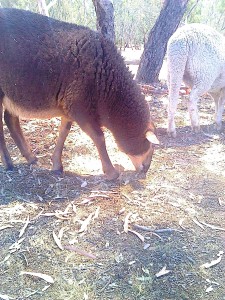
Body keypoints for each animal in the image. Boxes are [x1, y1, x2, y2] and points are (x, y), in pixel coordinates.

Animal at [0, 8, 159, 179]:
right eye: (150, 146)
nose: (146, 169)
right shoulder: (80, 108)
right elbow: (99, 137)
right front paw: (111, 172)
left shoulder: (69, 106)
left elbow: (64, 132)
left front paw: (57, 165)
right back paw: (8, 163)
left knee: (10, 120)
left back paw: (30, 157)